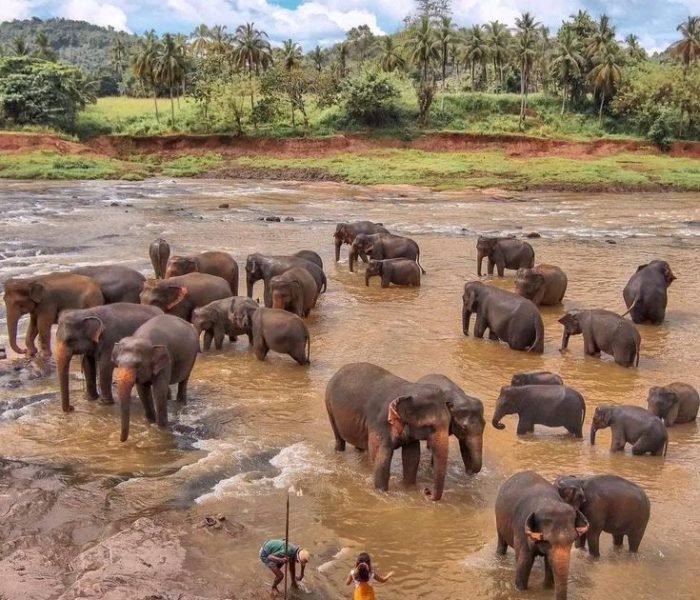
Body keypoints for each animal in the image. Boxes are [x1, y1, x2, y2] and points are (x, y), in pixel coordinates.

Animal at [112, 314, 199, 442]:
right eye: (117, 363)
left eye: (138, 365)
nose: (121, 440)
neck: (143, 338)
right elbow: (142, 390)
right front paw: (150, 422)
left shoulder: (166, 361)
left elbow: (159, 390)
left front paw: (162, 428)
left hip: (192, 356)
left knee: (184, 380)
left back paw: (181, 403)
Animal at [325, 362, 453, 501]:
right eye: (430, 426)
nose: (426, 491)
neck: (408, 390)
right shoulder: (380, 424)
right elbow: (382, 460)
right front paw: (382, 492)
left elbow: (412, 457)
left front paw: (408, 489)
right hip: (329, 406)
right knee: (339, 439)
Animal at [495, 471, 589, 600]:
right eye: (547, 541)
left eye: (572, 540)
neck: (547, 501)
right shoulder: (521, 530)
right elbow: (524, 562)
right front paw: (520, 590)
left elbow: (549, 563)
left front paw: (547, 588)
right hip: (498, 521)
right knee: (501, 542)